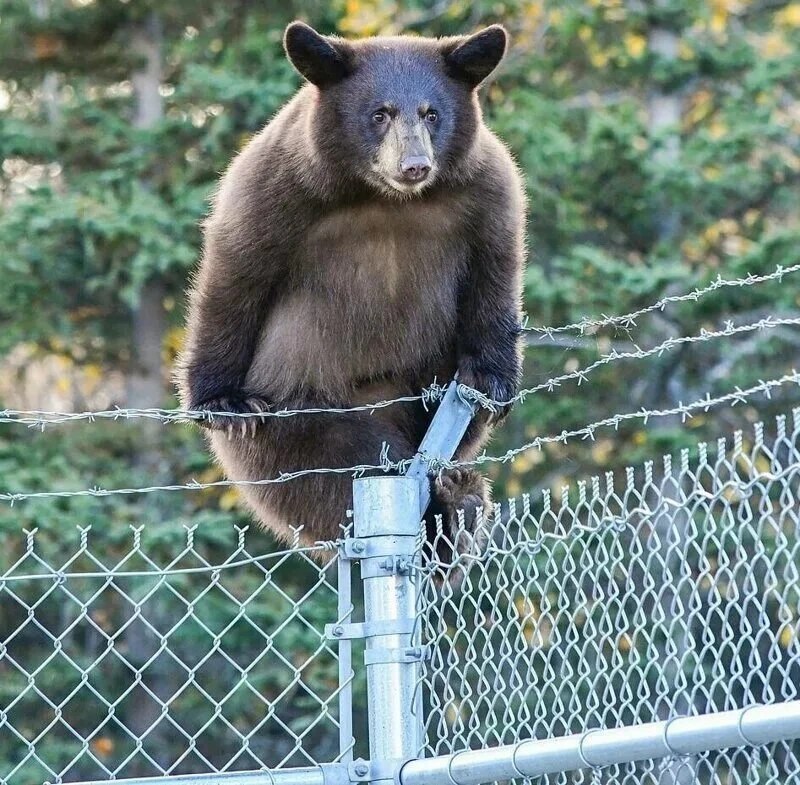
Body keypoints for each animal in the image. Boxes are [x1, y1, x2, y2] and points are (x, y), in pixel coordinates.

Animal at [177, 21, 526, 564]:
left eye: (432, 113)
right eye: (379, 114)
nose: (414, 165)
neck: (384, 198)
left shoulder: (484, 190)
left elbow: (494, 271)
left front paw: (491, 381)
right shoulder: (277, 186)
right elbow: (238, 271)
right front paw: (222, 403)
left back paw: (459, 505)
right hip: (306, 418)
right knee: (346, 473)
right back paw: (446, 518)